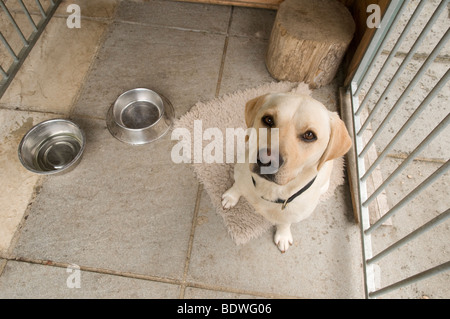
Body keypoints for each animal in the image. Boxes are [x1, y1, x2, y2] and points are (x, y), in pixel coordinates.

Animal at [221, 92, 352, 252]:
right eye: (268, 119)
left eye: (310, 135)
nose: (266, 160)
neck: (269, 190)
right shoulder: (241, 172)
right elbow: (237, 186)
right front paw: (231, 196)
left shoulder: (292, 215)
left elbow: (284, 223)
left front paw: (283, 235)